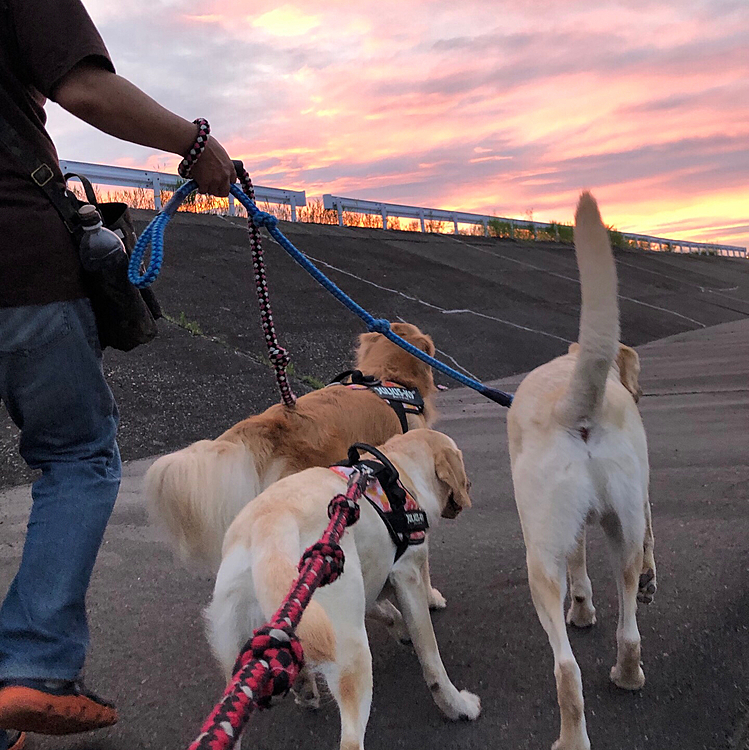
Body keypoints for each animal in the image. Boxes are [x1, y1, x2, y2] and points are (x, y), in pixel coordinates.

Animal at [205, 428, 480, 750]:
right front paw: (456, 706)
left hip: (238, 668)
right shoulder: (407, 572)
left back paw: (303, 686)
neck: (399, 469)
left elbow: (385, 610)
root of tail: (269, 523)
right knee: (350, 737)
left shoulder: (368, 578)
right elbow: (431, 658)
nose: (470, 485)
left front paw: (400, 629)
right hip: (350, 651)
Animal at [506, 195, 656, 750]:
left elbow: (577, 573)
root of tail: (575, 405)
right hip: (624, 528)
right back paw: (628, 675)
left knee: (566, 669)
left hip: (539, 557)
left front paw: (582, 610)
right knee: (629, 626)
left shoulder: (564, 539)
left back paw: (572, 737)